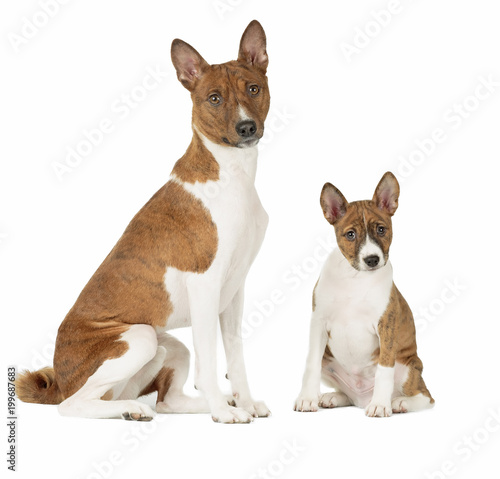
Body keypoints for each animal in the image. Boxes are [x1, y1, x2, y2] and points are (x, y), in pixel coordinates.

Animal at [16, 19, 274, 424]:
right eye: (214, 98)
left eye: (253, 88)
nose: (247, 128)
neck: (232, 175)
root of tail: (59, 378)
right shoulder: (205, 286)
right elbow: (211, 363)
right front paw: (224, 413)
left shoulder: (233, 291)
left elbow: (236, 358)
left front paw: (243, 403)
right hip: (139, 338)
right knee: (73, 405)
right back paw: (134, 408)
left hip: (168, 346)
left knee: (168, 401)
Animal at [292, 174, 434, 418]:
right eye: (350, 234)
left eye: (381, 230)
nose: (372, 260)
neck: (355, 278)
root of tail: (361, 398)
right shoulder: (318, 322)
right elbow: (310, 363)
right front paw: (307, 399)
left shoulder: (387, 325)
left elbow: (384, 370)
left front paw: (380, 406)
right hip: (329, 361)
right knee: (347, 395)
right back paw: (332, 397)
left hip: (409, 366)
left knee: (426, 396)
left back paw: (398, 403)